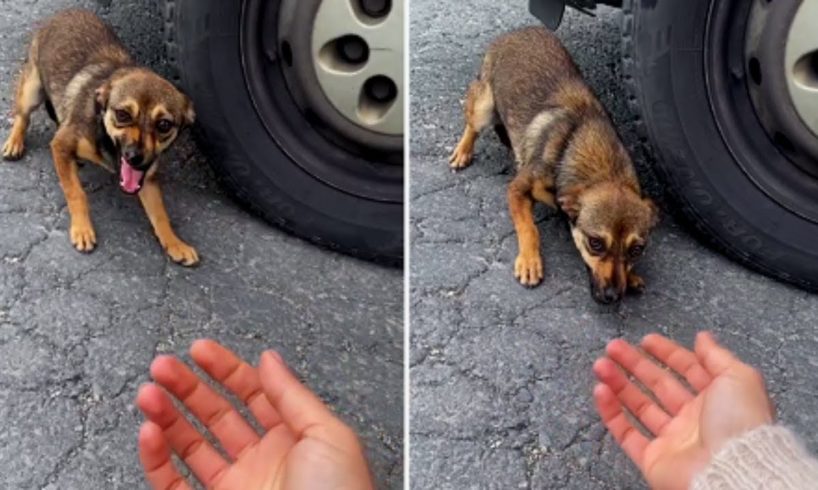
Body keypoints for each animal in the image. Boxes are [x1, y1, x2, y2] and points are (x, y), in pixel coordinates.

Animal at [2, 8, 199, 264]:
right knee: (23, 116)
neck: (107, 140)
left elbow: (160, 213)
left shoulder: (147, 177)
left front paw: (175, 242)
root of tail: (66, 11)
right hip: (32, 90)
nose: (135, 157)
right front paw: (82, 228)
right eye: (123, 114)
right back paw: (14, 142)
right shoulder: (61, 144)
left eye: (164, 125)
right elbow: (76, 192)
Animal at [450, 27, 652, 302]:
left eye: (636, 250)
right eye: (595, 243)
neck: (601, 169)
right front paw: (529, 261)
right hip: (484, 106)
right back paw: (462, 151)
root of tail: (518, 30)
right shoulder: (518, 189)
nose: (612, 297)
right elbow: (529, 228)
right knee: (472, 126)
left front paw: (631, 276)